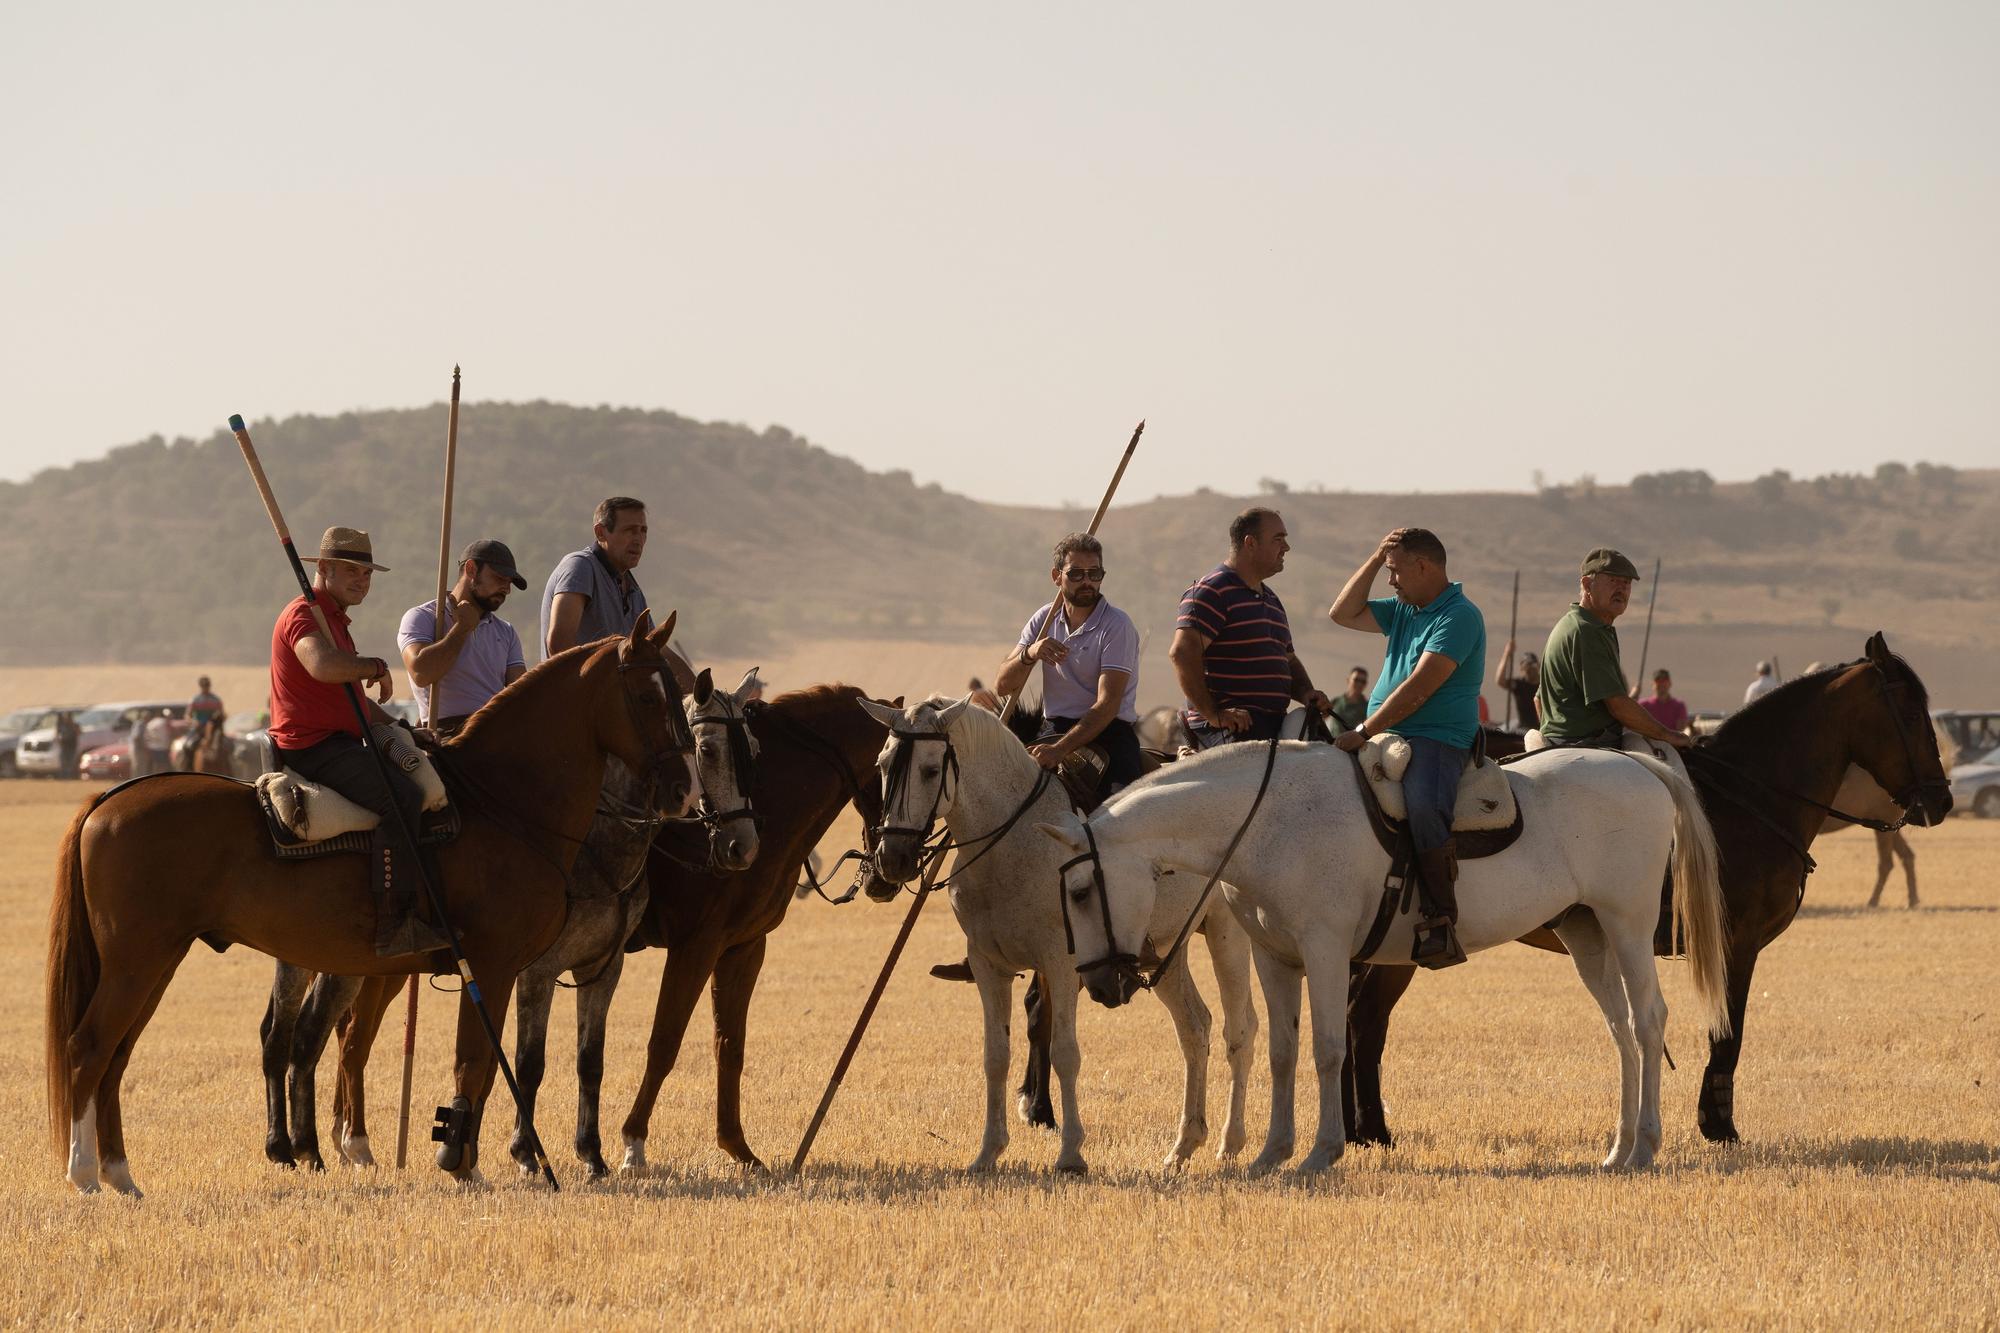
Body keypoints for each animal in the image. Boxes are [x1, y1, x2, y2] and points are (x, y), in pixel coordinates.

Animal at [43, 616, 700, 1184]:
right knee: (91, 1046)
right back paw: (86, 1174)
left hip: (160, 961)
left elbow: (493, 1065)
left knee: (122, 1055)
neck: (507, 801)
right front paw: (462, 1162)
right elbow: (477, 1062)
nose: (681, 791)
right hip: (138, 961)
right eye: (649, 698)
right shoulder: (496, 966)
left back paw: (123, 1173)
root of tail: (109, 798)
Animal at [860, 696, 1248, 1176]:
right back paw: (1183, 1146)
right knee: (1194, 1027)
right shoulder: (988, 965)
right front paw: (988, 1151)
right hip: (1167, 951)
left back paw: (1231, 1143)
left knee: (1239, 1031)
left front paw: (1070, 1153)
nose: (892, 859)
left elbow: (1064, 1050)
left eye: (931, 770)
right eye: (882, 765)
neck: (1013, 843)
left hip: (1228, 933)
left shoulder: (1062, 966)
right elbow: (996, 1055)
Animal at [1048, 740, 1736, 1168]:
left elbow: (1328, 1050)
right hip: (1586, 934)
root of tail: (1638, 766)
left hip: (1628, 925)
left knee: (1648, 1022)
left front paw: (1320, 1154)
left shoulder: (1325, 951)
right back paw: (1617, 1149)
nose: (1101, 985)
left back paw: (1645, 1145)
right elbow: (1282, 1052)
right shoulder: (1275, 958)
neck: (1272, 821)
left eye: (1080, 892)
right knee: (1622, 1031)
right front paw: (1270, 1154)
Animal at [1336, 632, 1944, 1144]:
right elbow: (1729, 1032)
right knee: (1364, 1021)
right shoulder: (1737, 943)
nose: (1940, 800)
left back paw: (1360, 1128)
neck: (1745, 798)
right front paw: (1717, 1124)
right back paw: (1369, 1130)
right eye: (1913, 714)